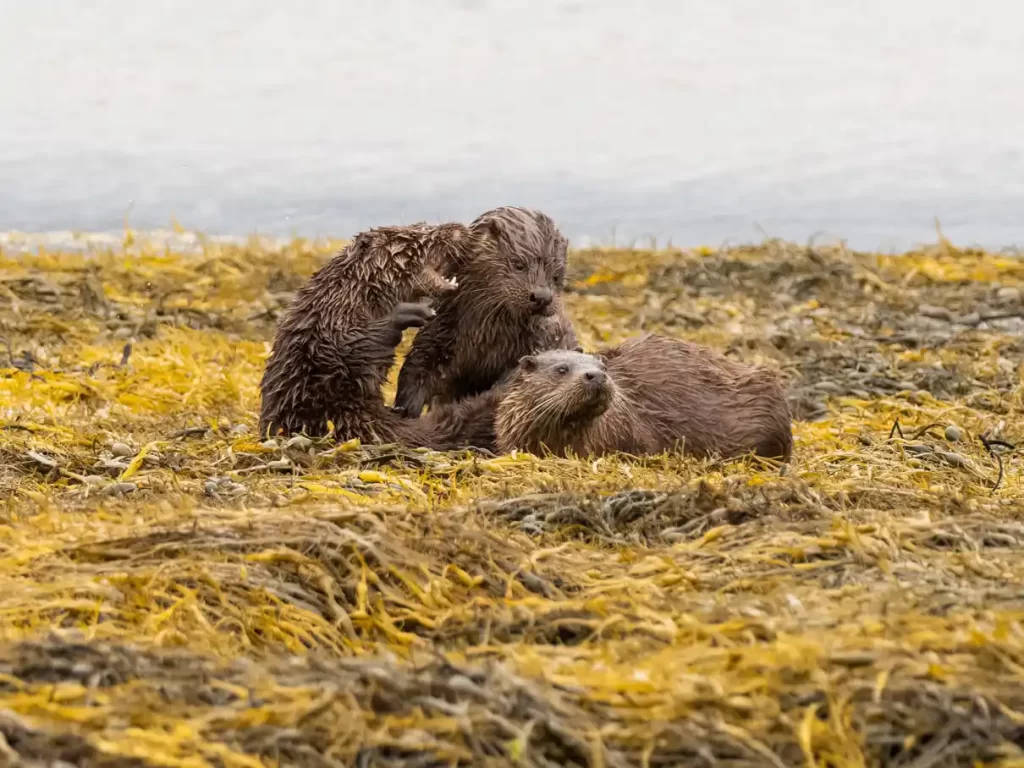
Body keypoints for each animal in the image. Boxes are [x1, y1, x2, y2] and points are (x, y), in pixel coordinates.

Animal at [258, 222, 488, 438]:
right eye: (421, 231)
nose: (459, 227)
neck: (350, 292)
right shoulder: (326, 322)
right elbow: (344, 349)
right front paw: (408, 313)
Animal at [393, 206, 579, 417]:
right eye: (518, 264)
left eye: (556, 275)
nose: (541, 297)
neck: (488, 338)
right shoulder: (442, 326)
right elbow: (421, 363)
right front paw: (405, 408)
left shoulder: (540, 341)